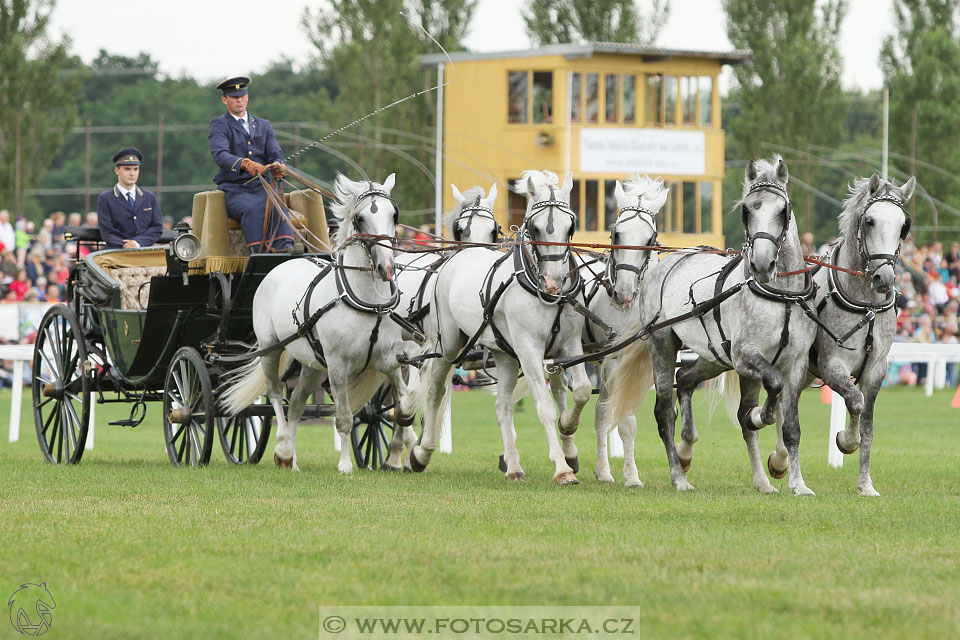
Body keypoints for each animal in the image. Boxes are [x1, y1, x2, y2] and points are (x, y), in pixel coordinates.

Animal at [225, 172, 424, 472]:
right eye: (360, 218)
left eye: (394, 214)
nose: (387, 267)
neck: (366, 300)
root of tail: (282, 263)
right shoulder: (338, 365)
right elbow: (343, 417)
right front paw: (345, 465)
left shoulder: (388, 357)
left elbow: (405, 397)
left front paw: (406, 438)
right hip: (271, 349)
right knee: (275, 393)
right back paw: (283, 449)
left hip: (311, 364)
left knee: (296, 403)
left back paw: (293, 462)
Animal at [410, 168, 592, 482]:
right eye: (535, 227)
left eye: (570, 225)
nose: (554, 282)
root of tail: (459, 255)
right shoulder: (529, 350)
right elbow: (545, 407)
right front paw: (562, 467)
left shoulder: (568, 345)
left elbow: (580, 390)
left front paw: (568, 427)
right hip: (448, 345)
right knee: (435, 391)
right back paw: (423, 452)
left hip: (504, 354)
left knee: (502, 406)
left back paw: (514, 467)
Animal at [584, 174, 668, 484]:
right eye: (616, 233)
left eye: (649, 239)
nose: (623, 293)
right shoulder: (615, 360)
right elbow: (613, 416)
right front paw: (612, 472)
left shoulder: (648, 363)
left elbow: (628, 416)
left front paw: (631, 475)